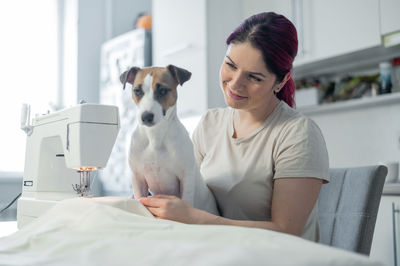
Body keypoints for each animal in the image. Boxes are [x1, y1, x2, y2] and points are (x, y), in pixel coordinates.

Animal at [119, 65, 219, 216]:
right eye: (137, 91)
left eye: (162, 90)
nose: (146, 116)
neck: (155, 136)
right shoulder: (138, 178)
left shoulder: (186, 177)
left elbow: (186, 200)